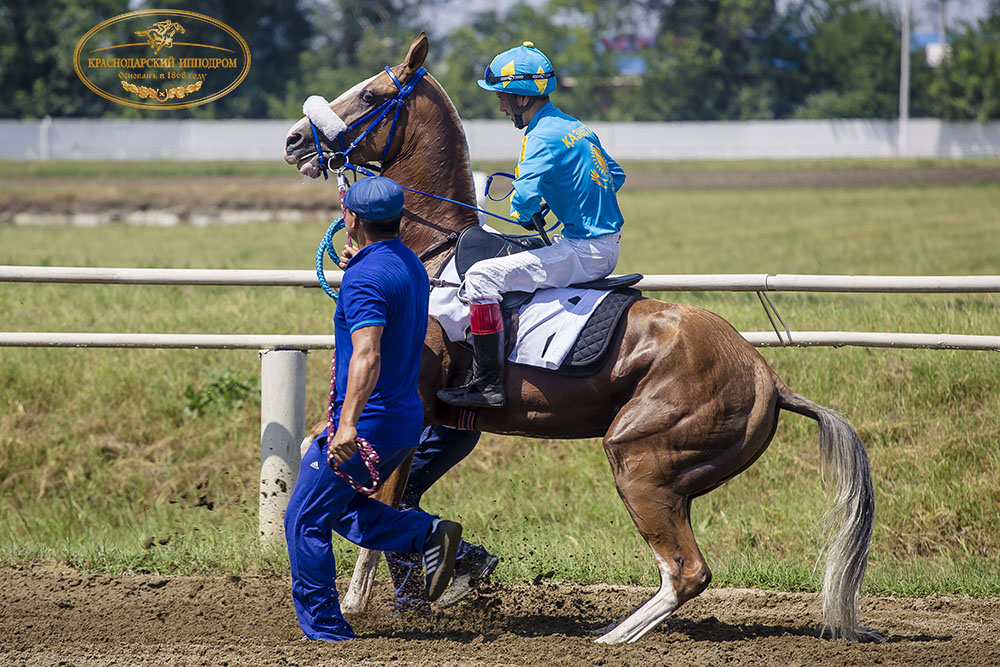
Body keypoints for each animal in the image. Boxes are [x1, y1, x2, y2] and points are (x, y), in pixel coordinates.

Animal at [282, 32, 876, 648]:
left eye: (371, 93)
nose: (294, 138)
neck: (431, 254)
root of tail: (767, 376)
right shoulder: (433, 420)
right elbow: (370, 478)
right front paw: (446, 572)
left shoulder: (411, 401)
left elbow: (376, 493)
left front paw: (361, 600)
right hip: (675, 478)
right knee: (684, 568)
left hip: (641, 461)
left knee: (686, 571)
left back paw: (613, 637)